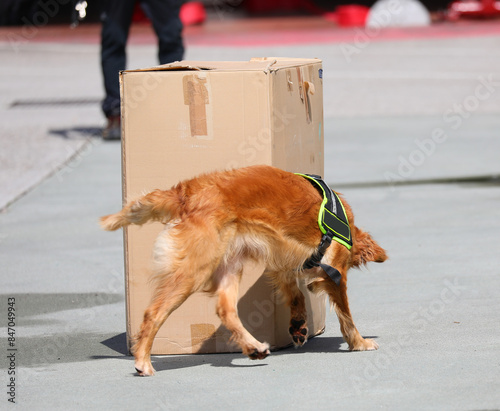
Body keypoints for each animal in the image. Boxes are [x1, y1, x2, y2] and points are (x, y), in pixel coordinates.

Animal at [101, 165, 386, 376]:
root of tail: (185, 193)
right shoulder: (334, 272)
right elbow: (346, 315)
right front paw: (359, 342)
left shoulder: (283, 265)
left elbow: (296, 295)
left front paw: (298, 325)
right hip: (194, 271)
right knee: (153, 313)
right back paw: (143, 361)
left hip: (230, 265)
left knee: (225, 310)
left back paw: (253, 347)